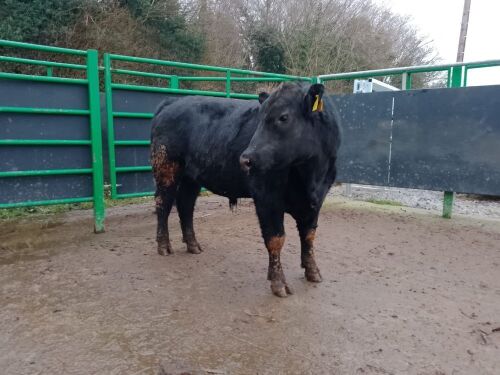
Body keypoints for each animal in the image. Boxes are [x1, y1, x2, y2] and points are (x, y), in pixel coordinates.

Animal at [150, 83, 342, 298]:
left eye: (284, 117)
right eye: (260, 118)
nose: (245, 159)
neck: (310, 177)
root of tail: (173, 101)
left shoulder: (316, 201)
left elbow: (309, 235)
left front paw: (313, 272)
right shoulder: (267, 197)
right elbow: (275, 239)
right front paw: (278, 283)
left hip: (191, 177)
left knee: (185, 205)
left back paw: (193, 245)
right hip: (166, 168)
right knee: (163, 204)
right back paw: (164, 246)